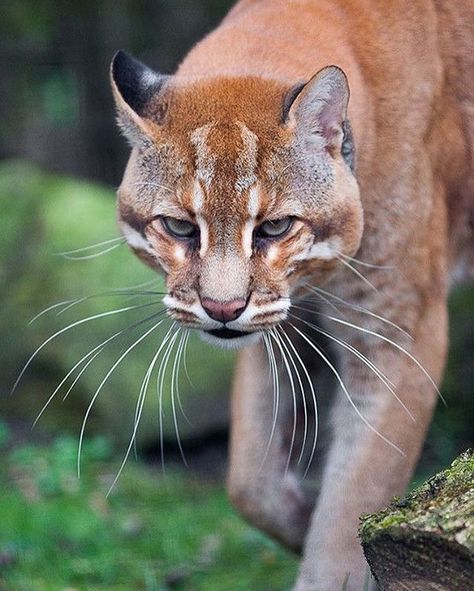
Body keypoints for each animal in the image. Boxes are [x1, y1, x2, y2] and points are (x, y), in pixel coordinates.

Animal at [109, 2, 472, 588]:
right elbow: (249, 479)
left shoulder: (396, 327)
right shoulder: (278, 322)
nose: (222, 309)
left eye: (275, 227)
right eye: (180, 227)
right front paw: (302, 523)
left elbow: (357, 491)